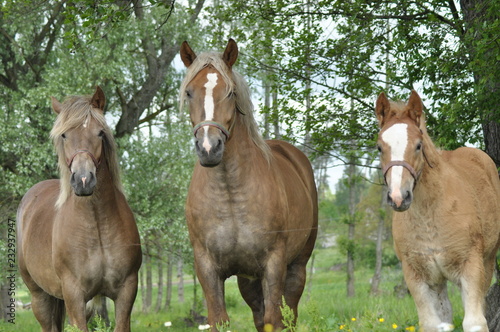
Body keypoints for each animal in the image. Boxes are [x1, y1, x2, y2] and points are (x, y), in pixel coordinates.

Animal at [17, 87, 143, 330]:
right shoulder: (74, 295)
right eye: (64, 135)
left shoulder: (127, 291)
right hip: (39, 297)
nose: (83, 180)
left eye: (100, 133)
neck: (96, 226)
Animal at [180, 39, 318, 332]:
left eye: (231, 92)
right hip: (248, 279)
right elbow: (219, 319)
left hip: (296, 268)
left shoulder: (273, 265)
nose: (209, 148)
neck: (230, 195)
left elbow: (273, 320)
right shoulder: (207, 267)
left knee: (289, 314)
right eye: (188, 92)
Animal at [376, 89, 500, 330]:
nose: (398, 197)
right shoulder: (416, 274)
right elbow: (432, 323)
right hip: (439, 280)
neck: (429, 216)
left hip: (486, 262)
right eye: (379, 147)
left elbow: (475, 322)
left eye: (418, 145)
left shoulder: (471, 266)